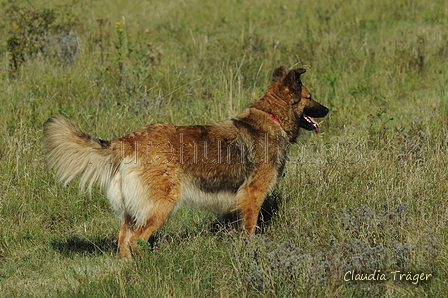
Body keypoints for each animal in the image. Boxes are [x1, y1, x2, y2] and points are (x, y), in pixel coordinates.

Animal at [43, 66, 328, 258]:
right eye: (310, 97)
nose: (328, 109)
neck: (272, 117)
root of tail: (128, 139)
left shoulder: (233, 202)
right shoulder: (252, 195)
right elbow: (249, 230)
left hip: (134, 209)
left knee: (123, 237)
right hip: (160, 206)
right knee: (136, 239)